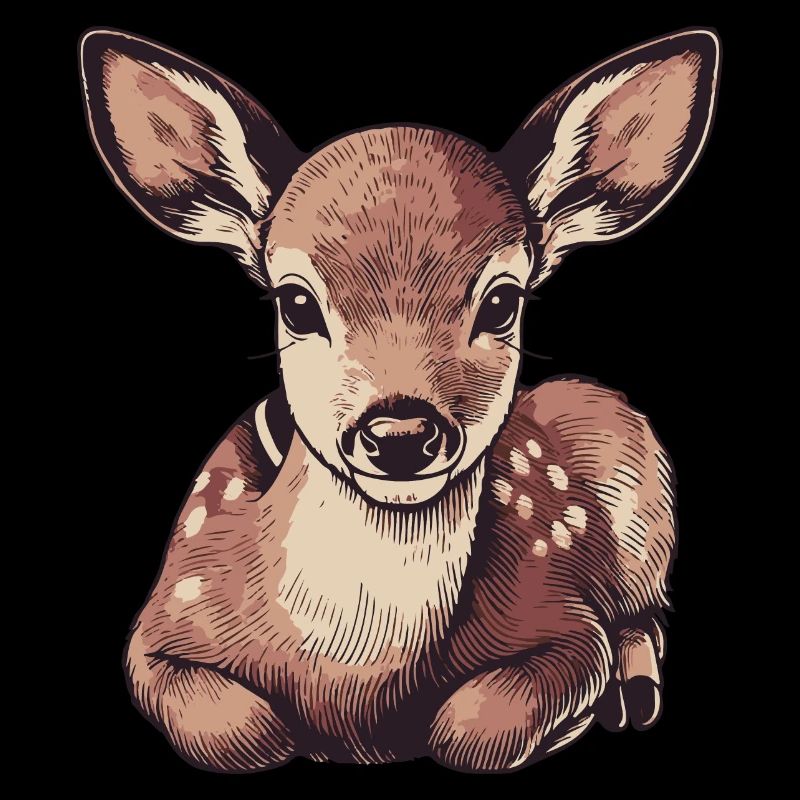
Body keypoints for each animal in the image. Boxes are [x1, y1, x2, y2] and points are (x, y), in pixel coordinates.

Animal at [80, 27, 719, 773]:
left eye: (503, 301)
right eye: (296, 303)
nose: (402, 434)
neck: (354, 675)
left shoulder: (563, 616)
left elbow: (473, 728)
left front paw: (575, 717)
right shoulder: (158, 624)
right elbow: (239, 730)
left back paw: (634, 691)